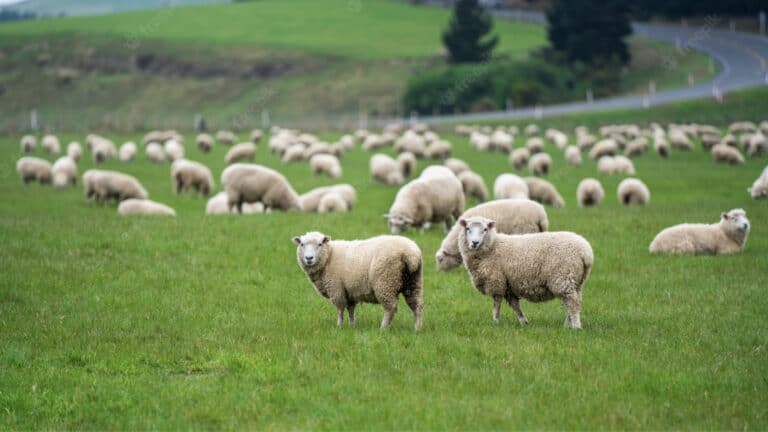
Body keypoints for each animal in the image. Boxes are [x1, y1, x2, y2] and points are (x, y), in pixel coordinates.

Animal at [292, 232, 423, 330]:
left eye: (319, 244)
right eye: (302, 244)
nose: (309, 258)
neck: (329, 256)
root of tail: (411, 254)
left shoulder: (337, 289)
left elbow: (340, 310)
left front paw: (339, 326)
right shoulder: (350, 291)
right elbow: (351, 310)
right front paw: (352, 326)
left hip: (385, 281)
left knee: (390, 308)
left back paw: (383, 328)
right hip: (413, 281)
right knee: (417, 305)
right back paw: (417, 328)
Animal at [457, 216, 593, 329]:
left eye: (484, 229)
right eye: (468, 229)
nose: (475, 243)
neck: (492, 247)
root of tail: (586, 252)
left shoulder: (496, 282)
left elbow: (497, 304)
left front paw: (495, 321)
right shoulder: (509, 285)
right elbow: (515, 305)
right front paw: (524, 322)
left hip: (563, 276)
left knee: (572, 302)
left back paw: (575, 326)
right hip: (576, 280)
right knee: (574, 301)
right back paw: (568, 324)